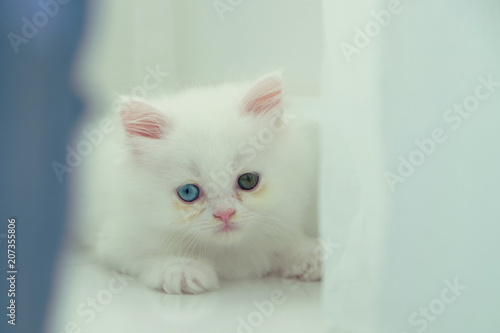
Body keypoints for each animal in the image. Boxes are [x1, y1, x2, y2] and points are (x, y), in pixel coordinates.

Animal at [74, 72, 320, 294]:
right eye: (188, 192)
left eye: (248, 180)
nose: (225, 214)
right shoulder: (114, 241)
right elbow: (147, 256)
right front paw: (180, 270)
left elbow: (287, 244)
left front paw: (310, 256)